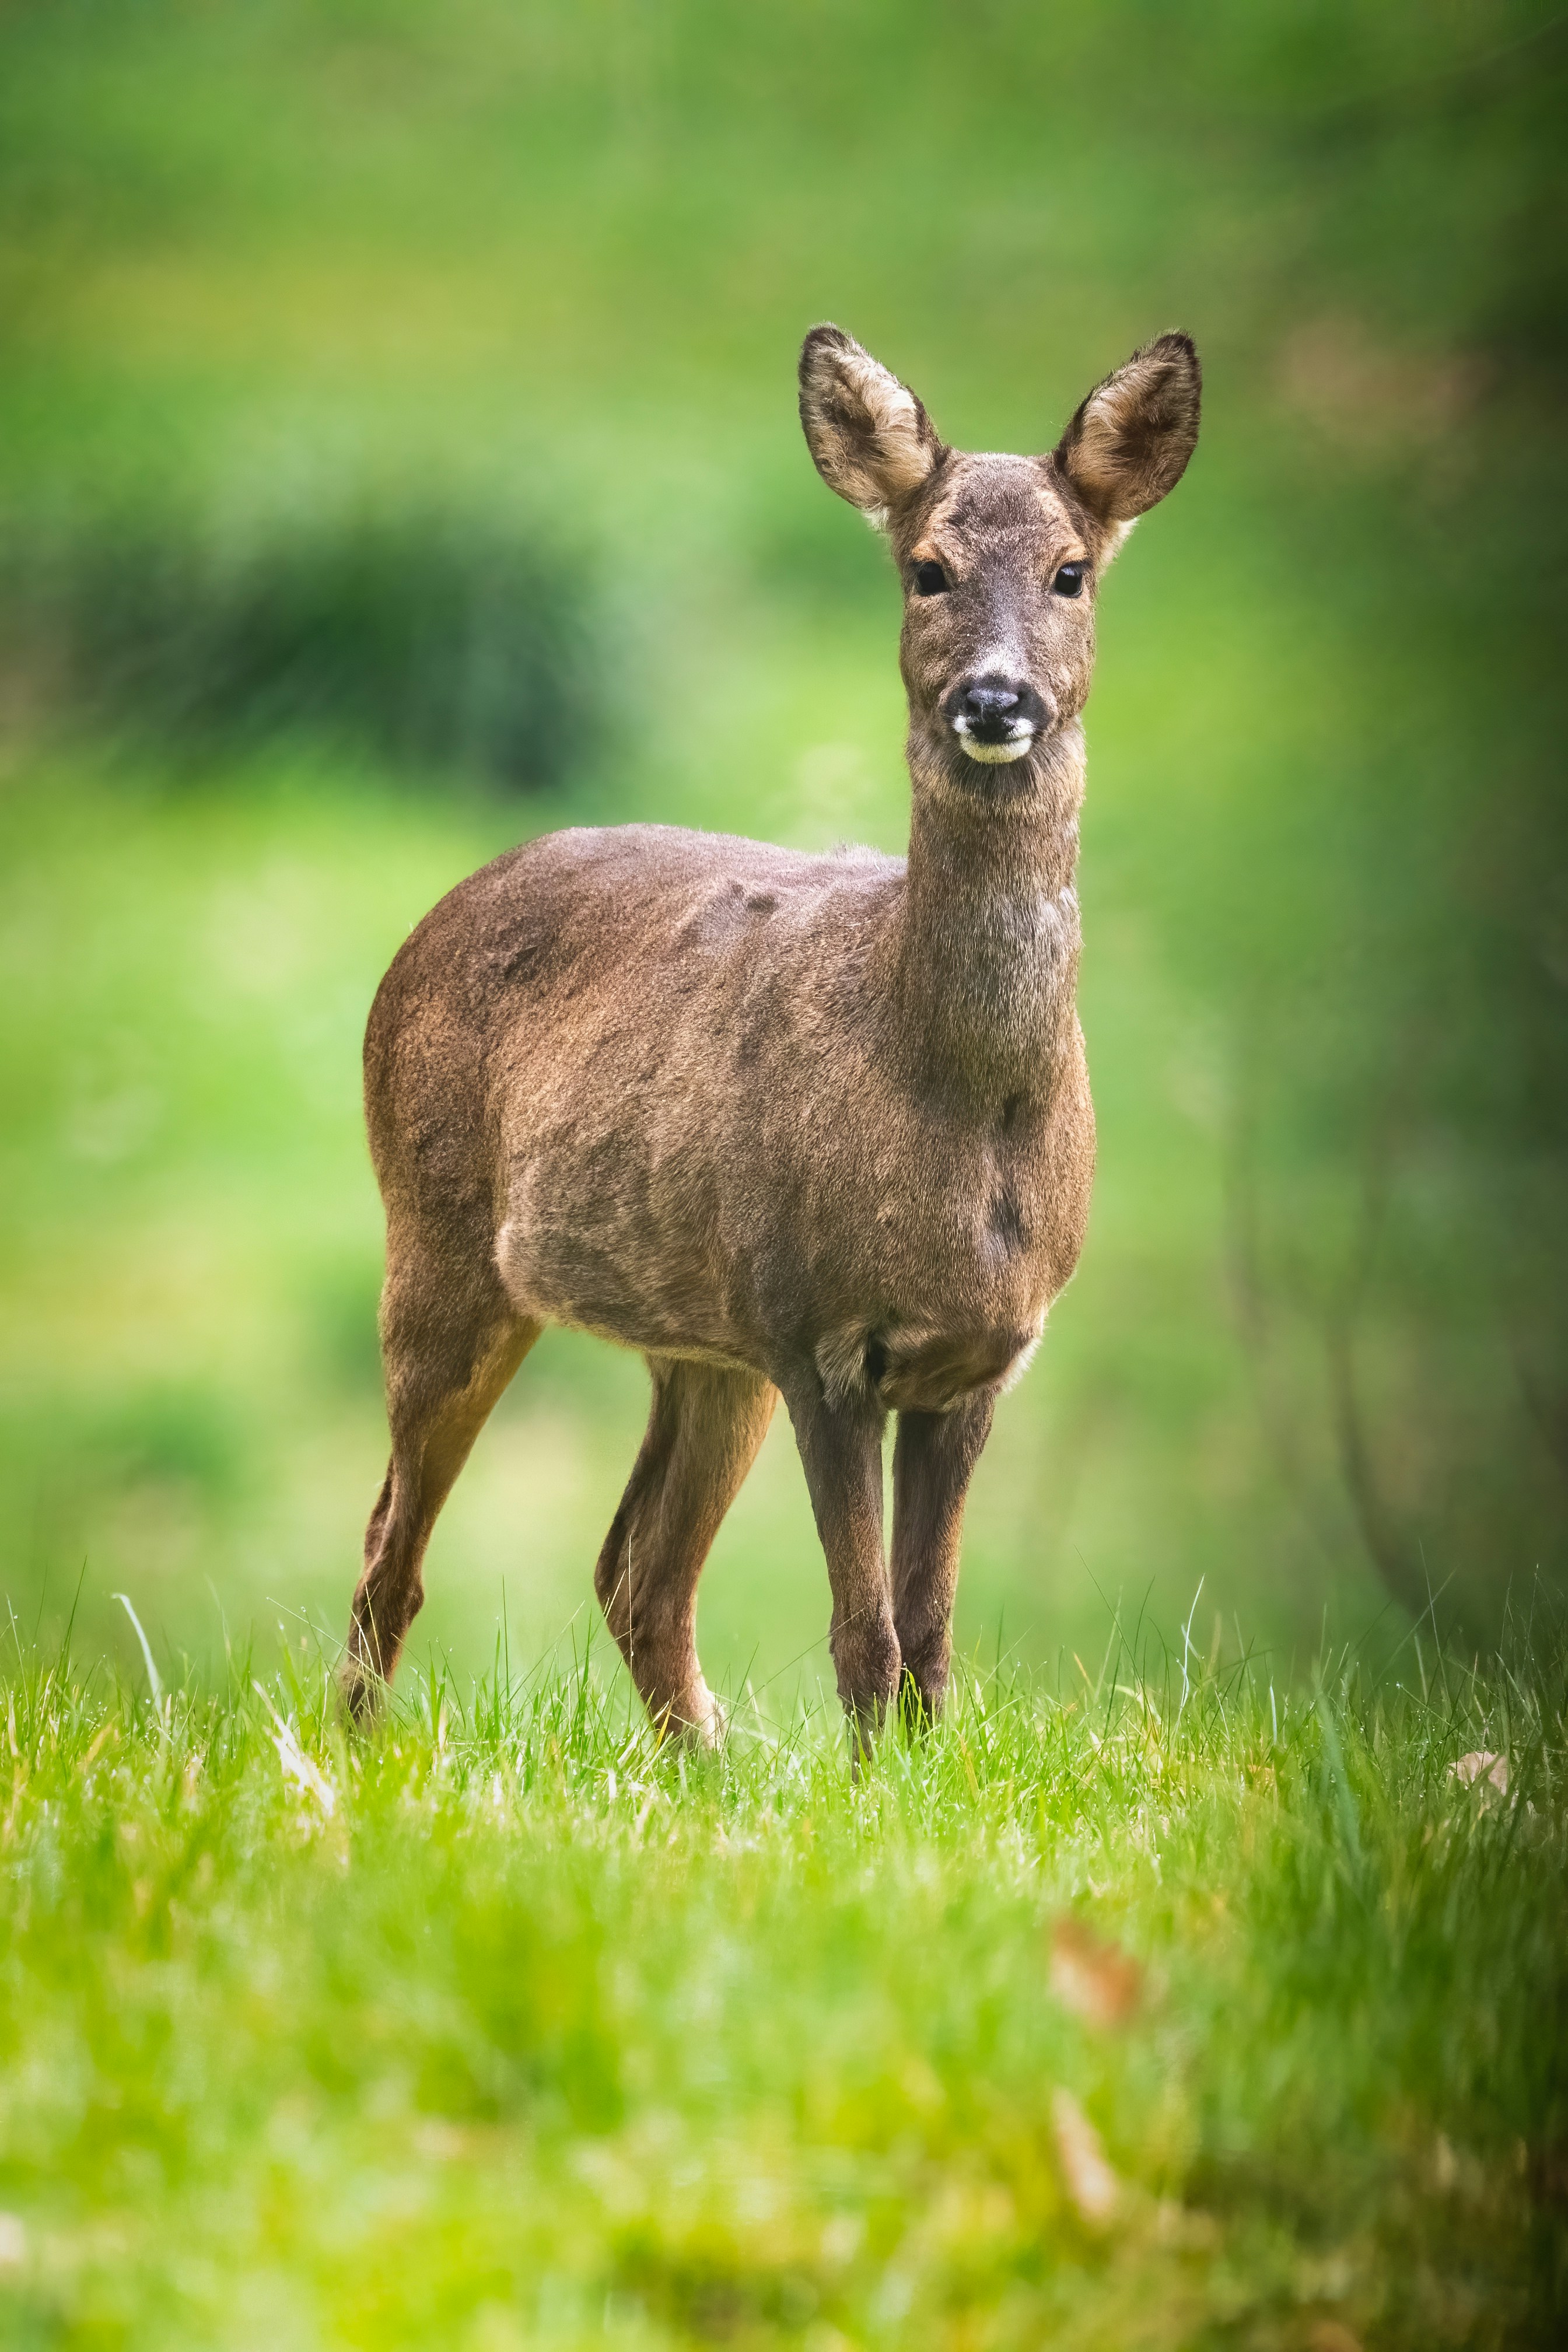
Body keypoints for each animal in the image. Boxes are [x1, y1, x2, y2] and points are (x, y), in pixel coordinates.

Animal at [339, 324, 1201, 1745]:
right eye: (925, 568)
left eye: (1071, 571)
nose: (996, 697)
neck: (957, 1099)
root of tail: (423, 927)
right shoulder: (821, 1332)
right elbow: (866, 1637)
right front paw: (869, 1783)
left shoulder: (983, 1355)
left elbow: (931, 1643)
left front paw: (911, 1780)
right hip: (446, 1240)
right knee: (392, 1548)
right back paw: (356, 1760)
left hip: (701, 1339)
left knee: (634, 1569)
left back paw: (705, 1766)